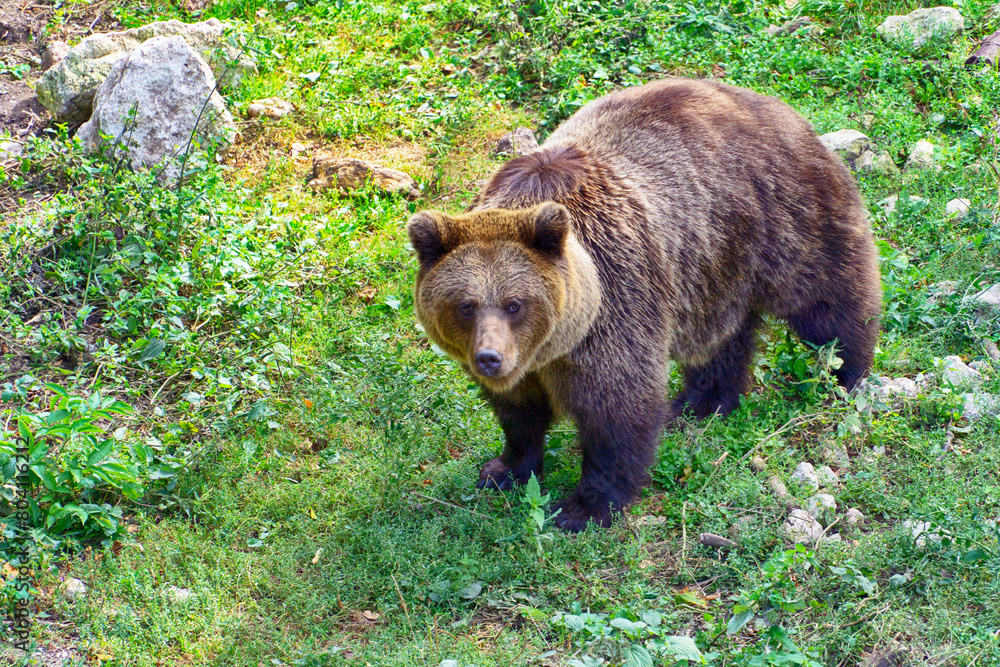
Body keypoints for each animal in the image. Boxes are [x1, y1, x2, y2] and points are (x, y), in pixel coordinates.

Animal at [406, 78, 882, 532]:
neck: (552, 345)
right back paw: (702, 401)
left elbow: (617, 408)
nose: (490, 357)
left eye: (514, 304)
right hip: (712, 265)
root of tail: (776, 105)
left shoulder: (615, 302)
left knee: (828, 299)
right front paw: (504, 468)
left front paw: (583, 507)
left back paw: (844, 372)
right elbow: (519, 412)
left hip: (783, 215)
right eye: (465, 305)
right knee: (721, 339)